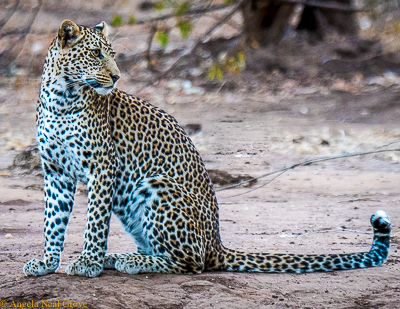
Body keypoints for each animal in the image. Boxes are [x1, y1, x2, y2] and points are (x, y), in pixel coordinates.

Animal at [22, 19, 390, 276]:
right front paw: (46, 263)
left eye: (112, 55)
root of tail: (217, 242)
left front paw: (88, 262)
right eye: (95, 54)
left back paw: (129, 261)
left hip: (156, 184)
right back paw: (123, 256)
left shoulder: (102, 167)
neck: (61, 97)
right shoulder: (55, 172)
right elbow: (52, 221)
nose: (116, 77)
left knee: (191, 262)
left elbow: (94, 222)